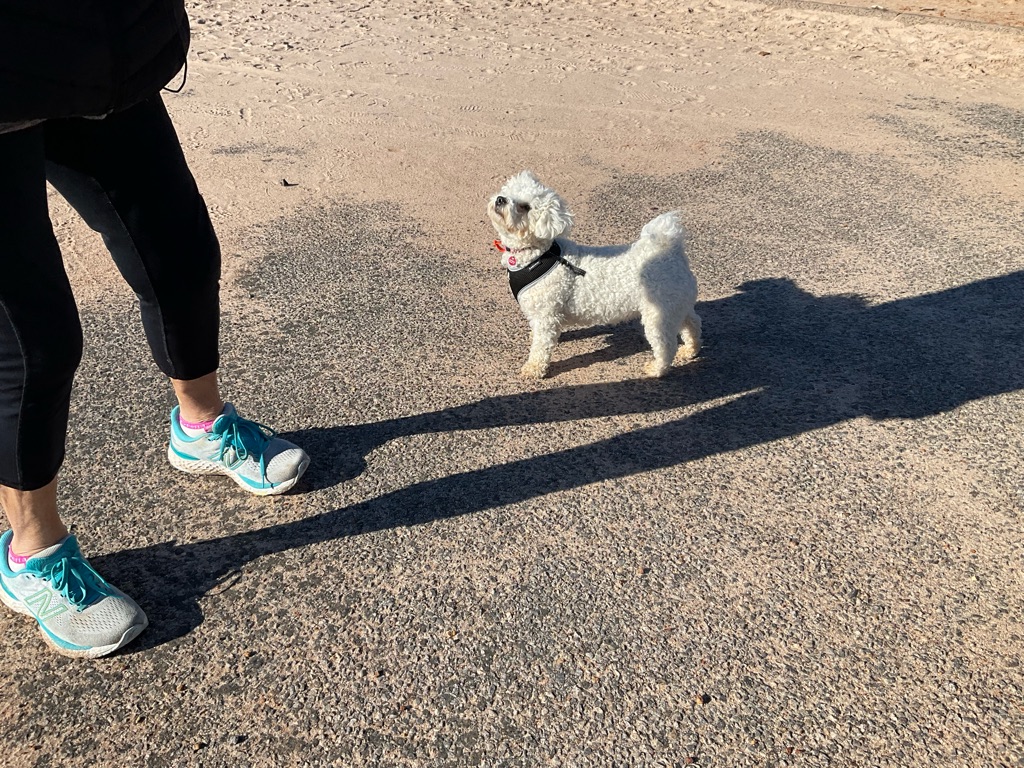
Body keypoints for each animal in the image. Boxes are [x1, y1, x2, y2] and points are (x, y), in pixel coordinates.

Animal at [487, 170, 701, 378]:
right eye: (507, 192)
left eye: (525, 207)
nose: (500, 199)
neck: (539, 254)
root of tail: (672, 251)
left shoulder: (546, 315)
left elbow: (541, 347)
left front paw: (533, 369)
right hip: (675, 306)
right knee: (692, 323)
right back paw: (691, 349)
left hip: (657, 314)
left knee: (666, 345)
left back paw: (657, 369)